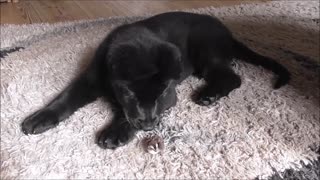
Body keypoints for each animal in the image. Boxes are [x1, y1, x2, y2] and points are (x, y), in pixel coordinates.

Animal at [20, 11, 290, 149]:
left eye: (161, 94)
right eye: (129, 93)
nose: (149, 126)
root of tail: (229, 34)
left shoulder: (171, 96)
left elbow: (126, 114)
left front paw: (116, 131)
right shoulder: (91, 77)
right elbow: (67, 97)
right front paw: (41, 117)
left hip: (206, 49)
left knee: (233, 77)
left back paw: (208, 94)